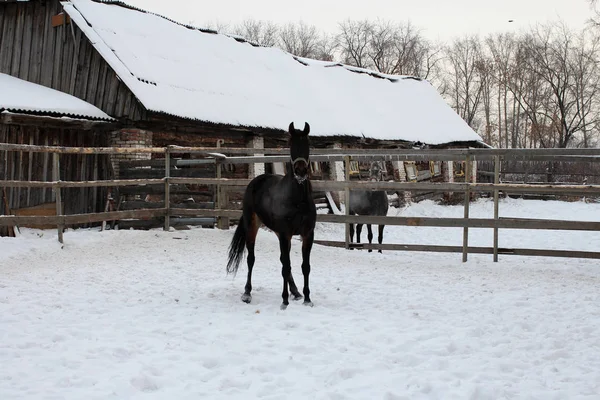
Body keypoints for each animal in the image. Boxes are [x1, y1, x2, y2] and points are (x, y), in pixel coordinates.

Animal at [226, 122, 318, 310]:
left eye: (308, 143)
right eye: (291, 143)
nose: (301, 171)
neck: (297, 200)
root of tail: (255, 181)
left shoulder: (307, 234)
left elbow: (304, 266)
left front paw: (307, 299)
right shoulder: (285, 234)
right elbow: (286, 267)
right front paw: (284, 301)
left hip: (278, 233)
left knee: (283, 260)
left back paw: (296, 292)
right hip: (252, 225)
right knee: (251, 259)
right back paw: (247, 293)